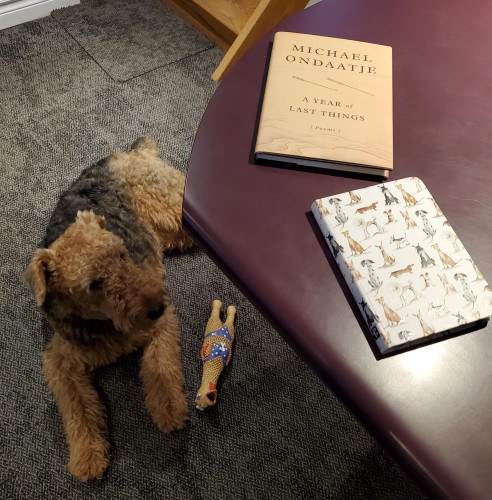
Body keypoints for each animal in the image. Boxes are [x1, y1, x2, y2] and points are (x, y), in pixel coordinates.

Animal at [26, 137, 193, 480]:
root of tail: (131, 152)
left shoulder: (162, 325)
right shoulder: (60, 363)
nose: (156, 306)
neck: (103, 322)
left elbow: (160, 367)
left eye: (121, 254)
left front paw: (169, 410)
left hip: (173, 205)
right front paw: (88, 456)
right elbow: (78, 409)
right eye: (94, 284)